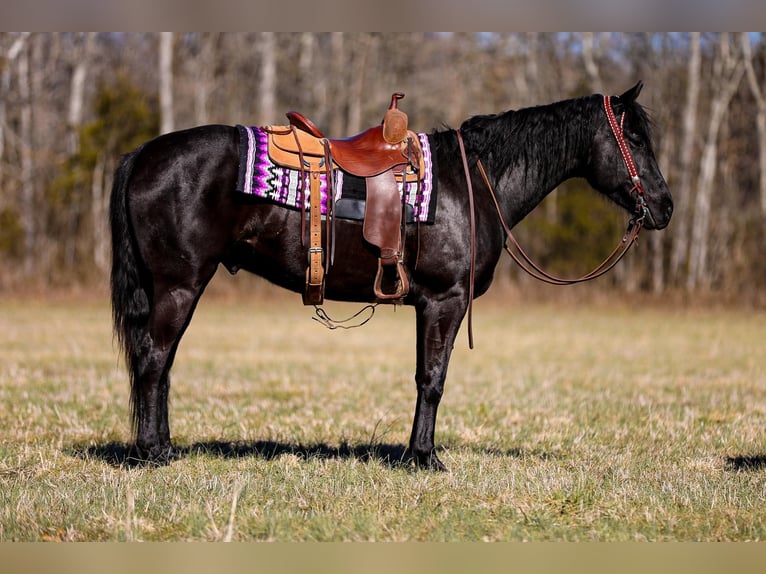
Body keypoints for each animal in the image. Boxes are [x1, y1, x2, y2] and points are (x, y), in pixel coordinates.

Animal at [108, 84, 672, 472]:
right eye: (634, 137)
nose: (665, 207)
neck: (472, 182)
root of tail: (142, 155)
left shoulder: (431, 303)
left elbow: (425, 375)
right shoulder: (444, 300)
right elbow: (433, 379)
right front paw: (423, 457)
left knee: (160, 363)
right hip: (180, 284)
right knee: (154, 360)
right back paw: (154, 453)